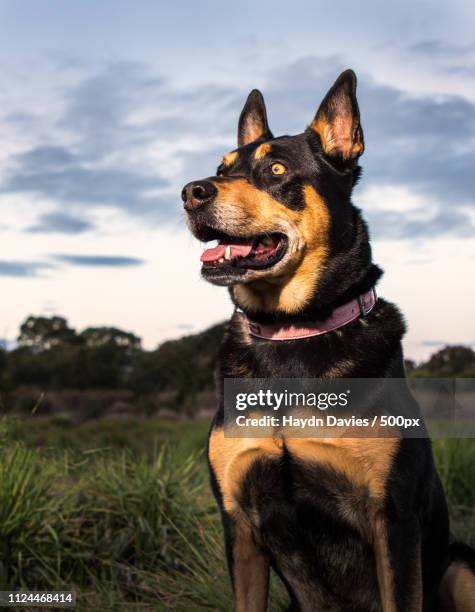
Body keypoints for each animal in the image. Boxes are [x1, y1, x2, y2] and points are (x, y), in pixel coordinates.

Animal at [183, 70, 475, 612]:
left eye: (276, 168)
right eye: (221, 168)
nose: (191, 192)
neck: (293, 330)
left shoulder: (393, 520)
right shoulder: (239, 522)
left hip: (462, 564)